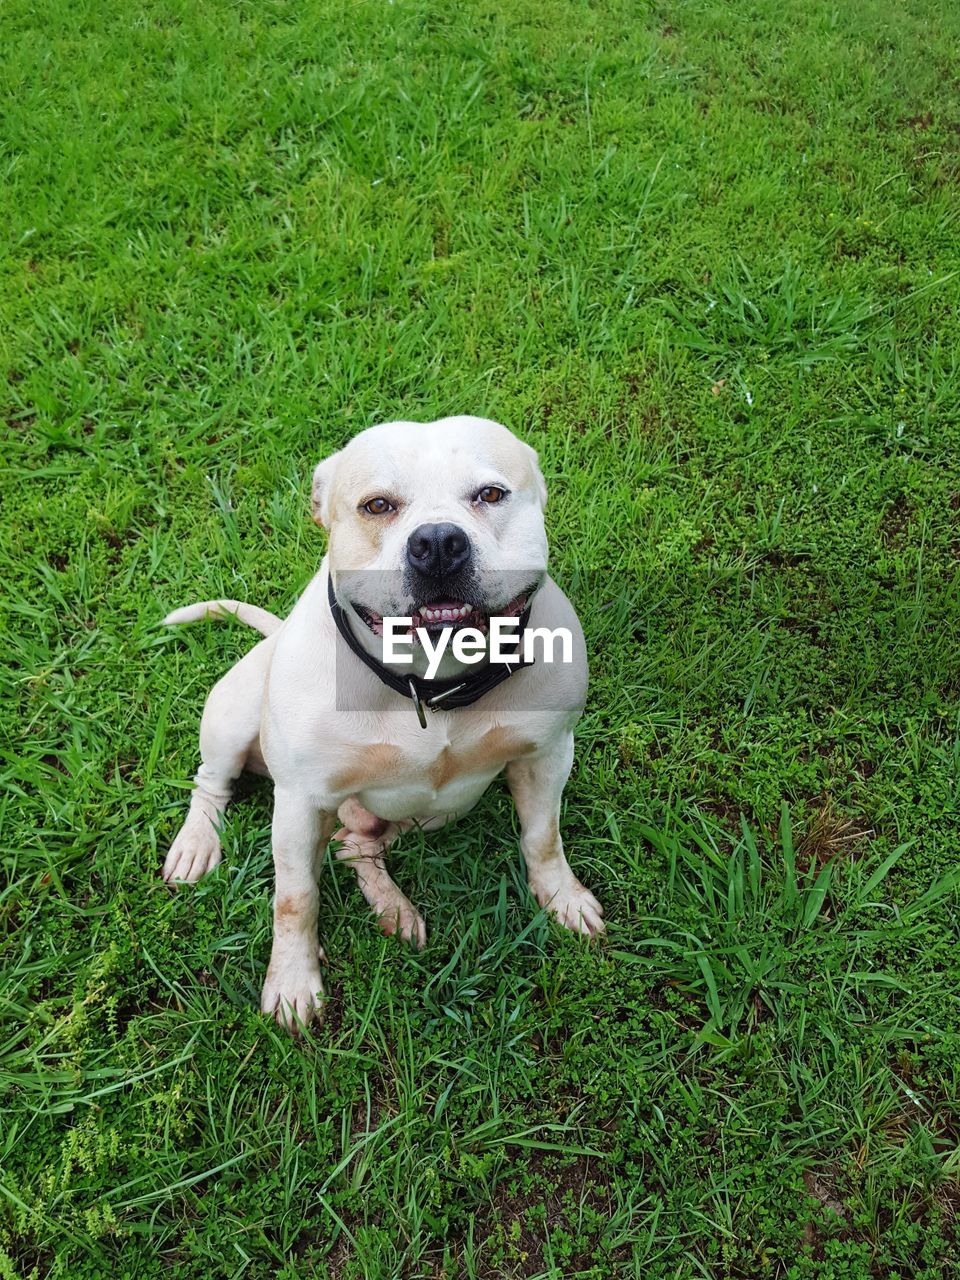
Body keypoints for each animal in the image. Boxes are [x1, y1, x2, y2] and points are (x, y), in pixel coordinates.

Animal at [162, 414, 604, 1034]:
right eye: (377, 506)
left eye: (491, 495)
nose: (438, 542)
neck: (433, 684)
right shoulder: (299, 803)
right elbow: (295, 899)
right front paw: (293, 979)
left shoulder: (548, 755)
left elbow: (543, 838)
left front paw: (562, 898)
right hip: (233, 716)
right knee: (212, 784)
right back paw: (198, 844)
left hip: (429, 813)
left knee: (355, 846)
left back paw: (393, 908)